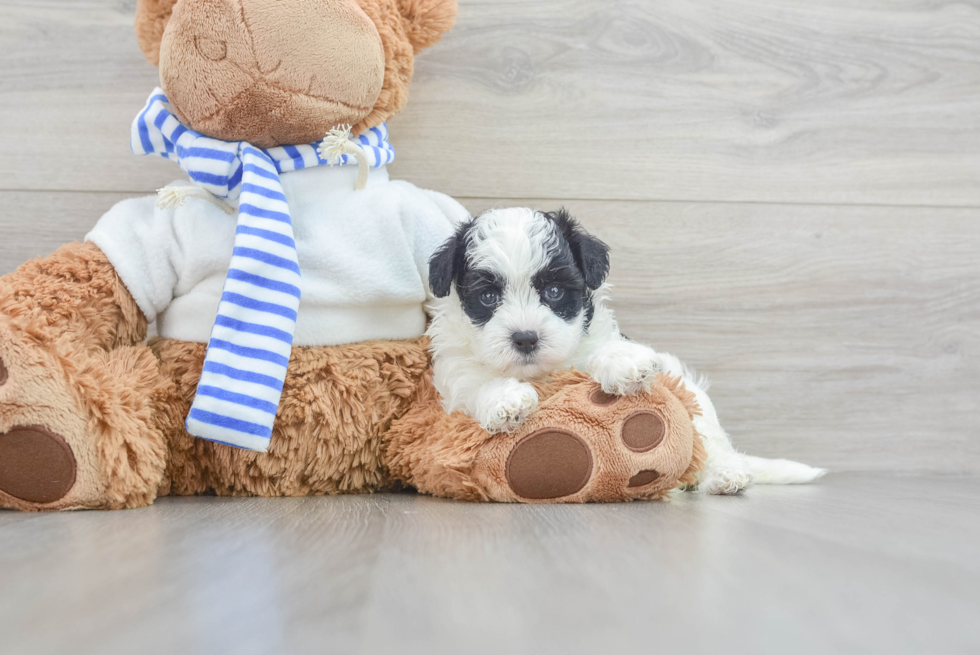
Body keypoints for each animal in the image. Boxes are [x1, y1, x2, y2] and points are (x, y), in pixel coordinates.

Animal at [428, 208, 828, 494]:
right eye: (488, 297)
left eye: (554, 292)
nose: (525, 338)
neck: (539, 372)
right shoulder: (454, 375)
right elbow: (477, 383)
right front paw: (506, 400)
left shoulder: (591, 340)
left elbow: (601, 350)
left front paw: (624, 363)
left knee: (710, 440)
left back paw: (725, 473)